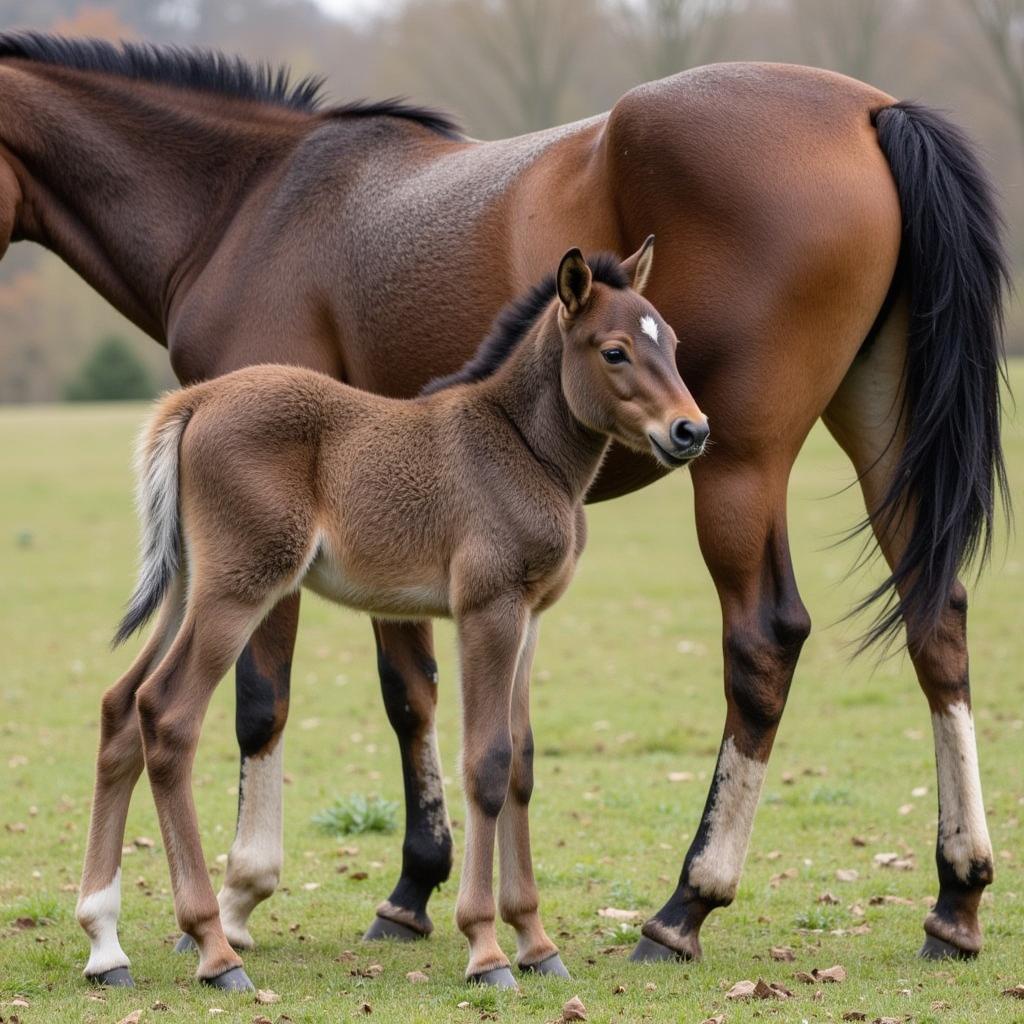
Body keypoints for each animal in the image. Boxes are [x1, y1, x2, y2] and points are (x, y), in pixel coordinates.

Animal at [77, 239, 704, 991]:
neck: (522, 448)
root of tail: (196, 399)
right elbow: (487, 763)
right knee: (167, 715)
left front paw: (537, 942)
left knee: (120, 706)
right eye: (614, 351)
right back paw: (214, 948)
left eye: (672, 343)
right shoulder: (487, 609)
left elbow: (522, 764)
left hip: (188, 587)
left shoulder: (530, 617)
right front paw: (487, 949)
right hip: (240, 587)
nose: (691, 430)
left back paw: (105, 944)